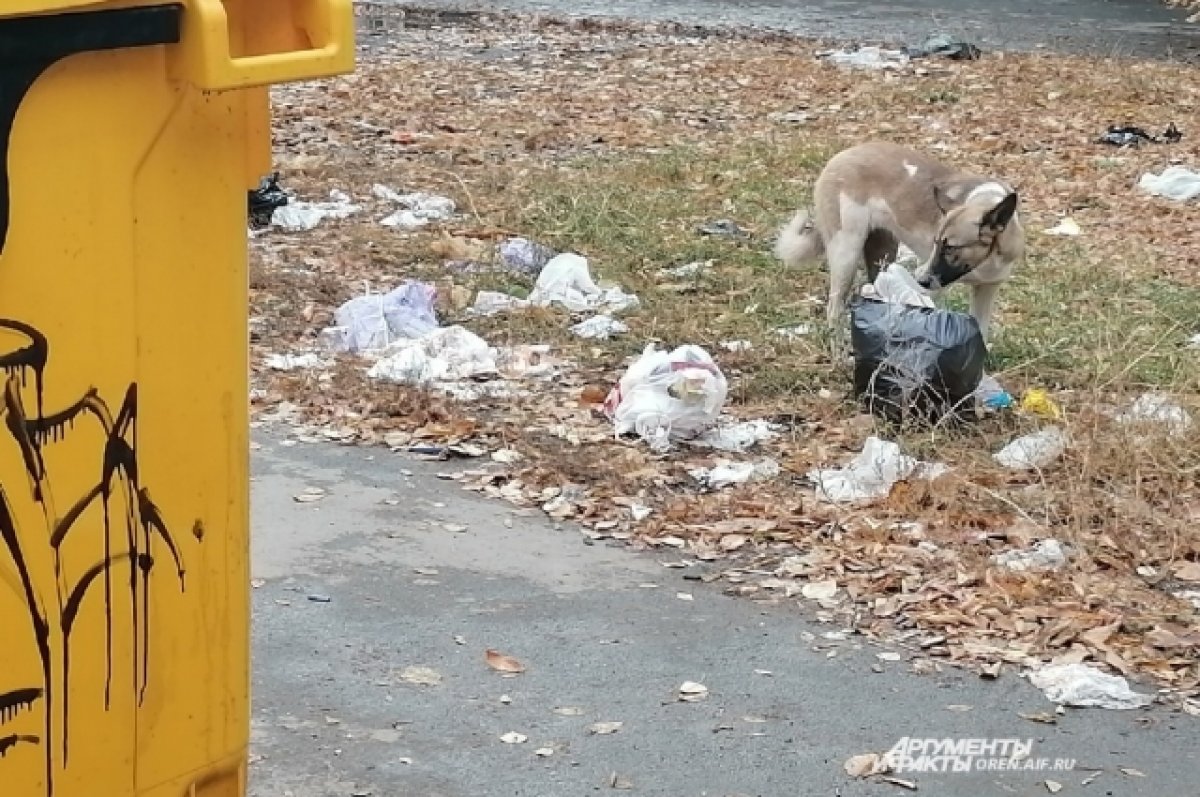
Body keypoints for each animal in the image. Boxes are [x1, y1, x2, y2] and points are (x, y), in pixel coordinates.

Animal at [777, 141, 1022, 340]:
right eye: (936, 243)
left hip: (882, 255)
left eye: (950, 248)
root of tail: (841, 155)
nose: (919, 278)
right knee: (834, 310)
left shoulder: (986, 289)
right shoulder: (930, 291)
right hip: (846, 256)